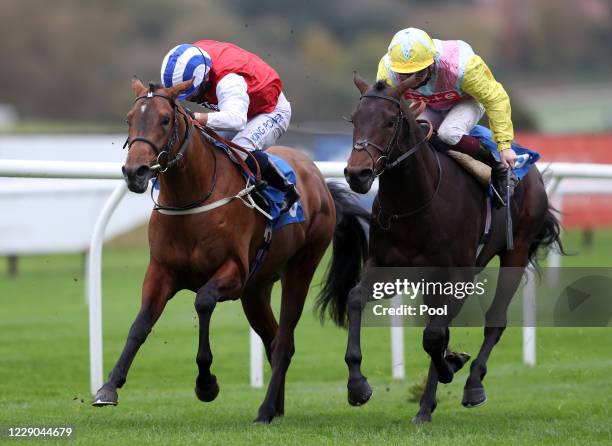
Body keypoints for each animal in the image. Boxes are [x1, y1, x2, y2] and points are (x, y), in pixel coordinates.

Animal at [91, 78, 368, 424]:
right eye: (129, 118)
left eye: (165, 120)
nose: (135, 172)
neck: (191, 200)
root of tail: (318, 180)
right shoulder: (160, 271)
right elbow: (140, 324)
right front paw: (109, 386)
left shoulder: (233, 272)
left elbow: (203, 301)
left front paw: (206, 383)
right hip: (257, 289)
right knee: (276, 340)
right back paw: (275, 408)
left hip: (300, 269)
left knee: (284, 340)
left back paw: (266, 410)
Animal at [320, 75, 564, 424]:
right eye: (354, 119)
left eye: (390, 121)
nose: (357, 174)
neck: (417, 202)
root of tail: (526, 167)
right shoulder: (386, 267)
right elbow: (356, 299)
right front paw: (357, 386)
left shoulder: (457, 276)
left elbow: (434, 336)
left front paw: (451, 367)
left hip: (514, 253)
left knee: (494, 321)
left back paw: (470, 385)